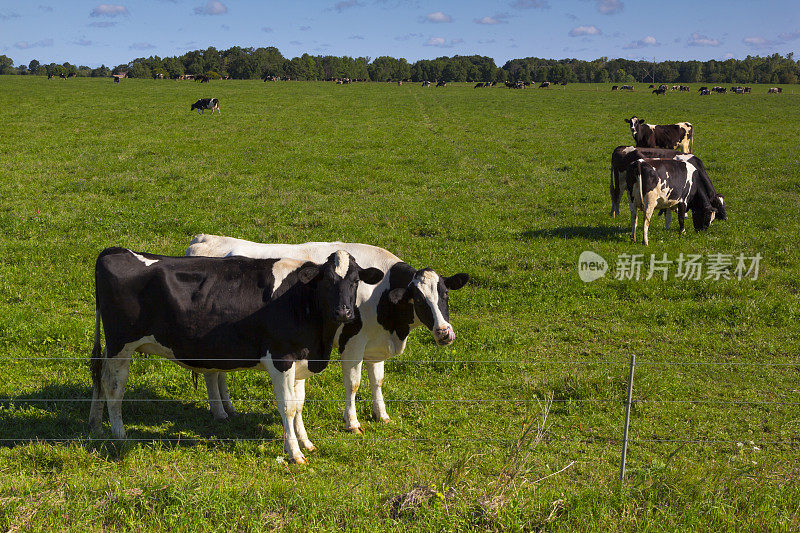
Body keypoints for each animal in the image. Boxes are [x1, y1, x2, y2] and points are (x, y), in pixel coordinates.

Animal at [90, 245, 384, 462]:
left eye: (355, 281)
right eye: (328, 281)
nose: (344, 312)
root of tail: (116, 250)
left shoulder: (301, 359)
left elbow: (299, 405)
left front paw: (306, 443)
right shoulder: (281, 359)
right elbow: (287, 407)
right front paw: (294, 453)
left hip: (114, 347)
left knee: (100, 378)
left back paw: (97, 424)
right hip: (121, 344)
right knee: (114, 387)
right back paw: (119, 433)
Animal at [185, 236, 472, 432]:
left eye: (445, 294)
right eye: (420, 300)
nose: (444, 332)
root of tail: (205, 239)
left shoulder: (375, 343)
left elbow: (377, 381)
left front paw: (382, 415)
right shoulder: (353, 342)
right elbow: (354, 383)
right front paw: (352, 422)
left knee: (219, 372)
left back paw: (229, 408)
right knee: (211, 374)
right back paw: (220, 412)